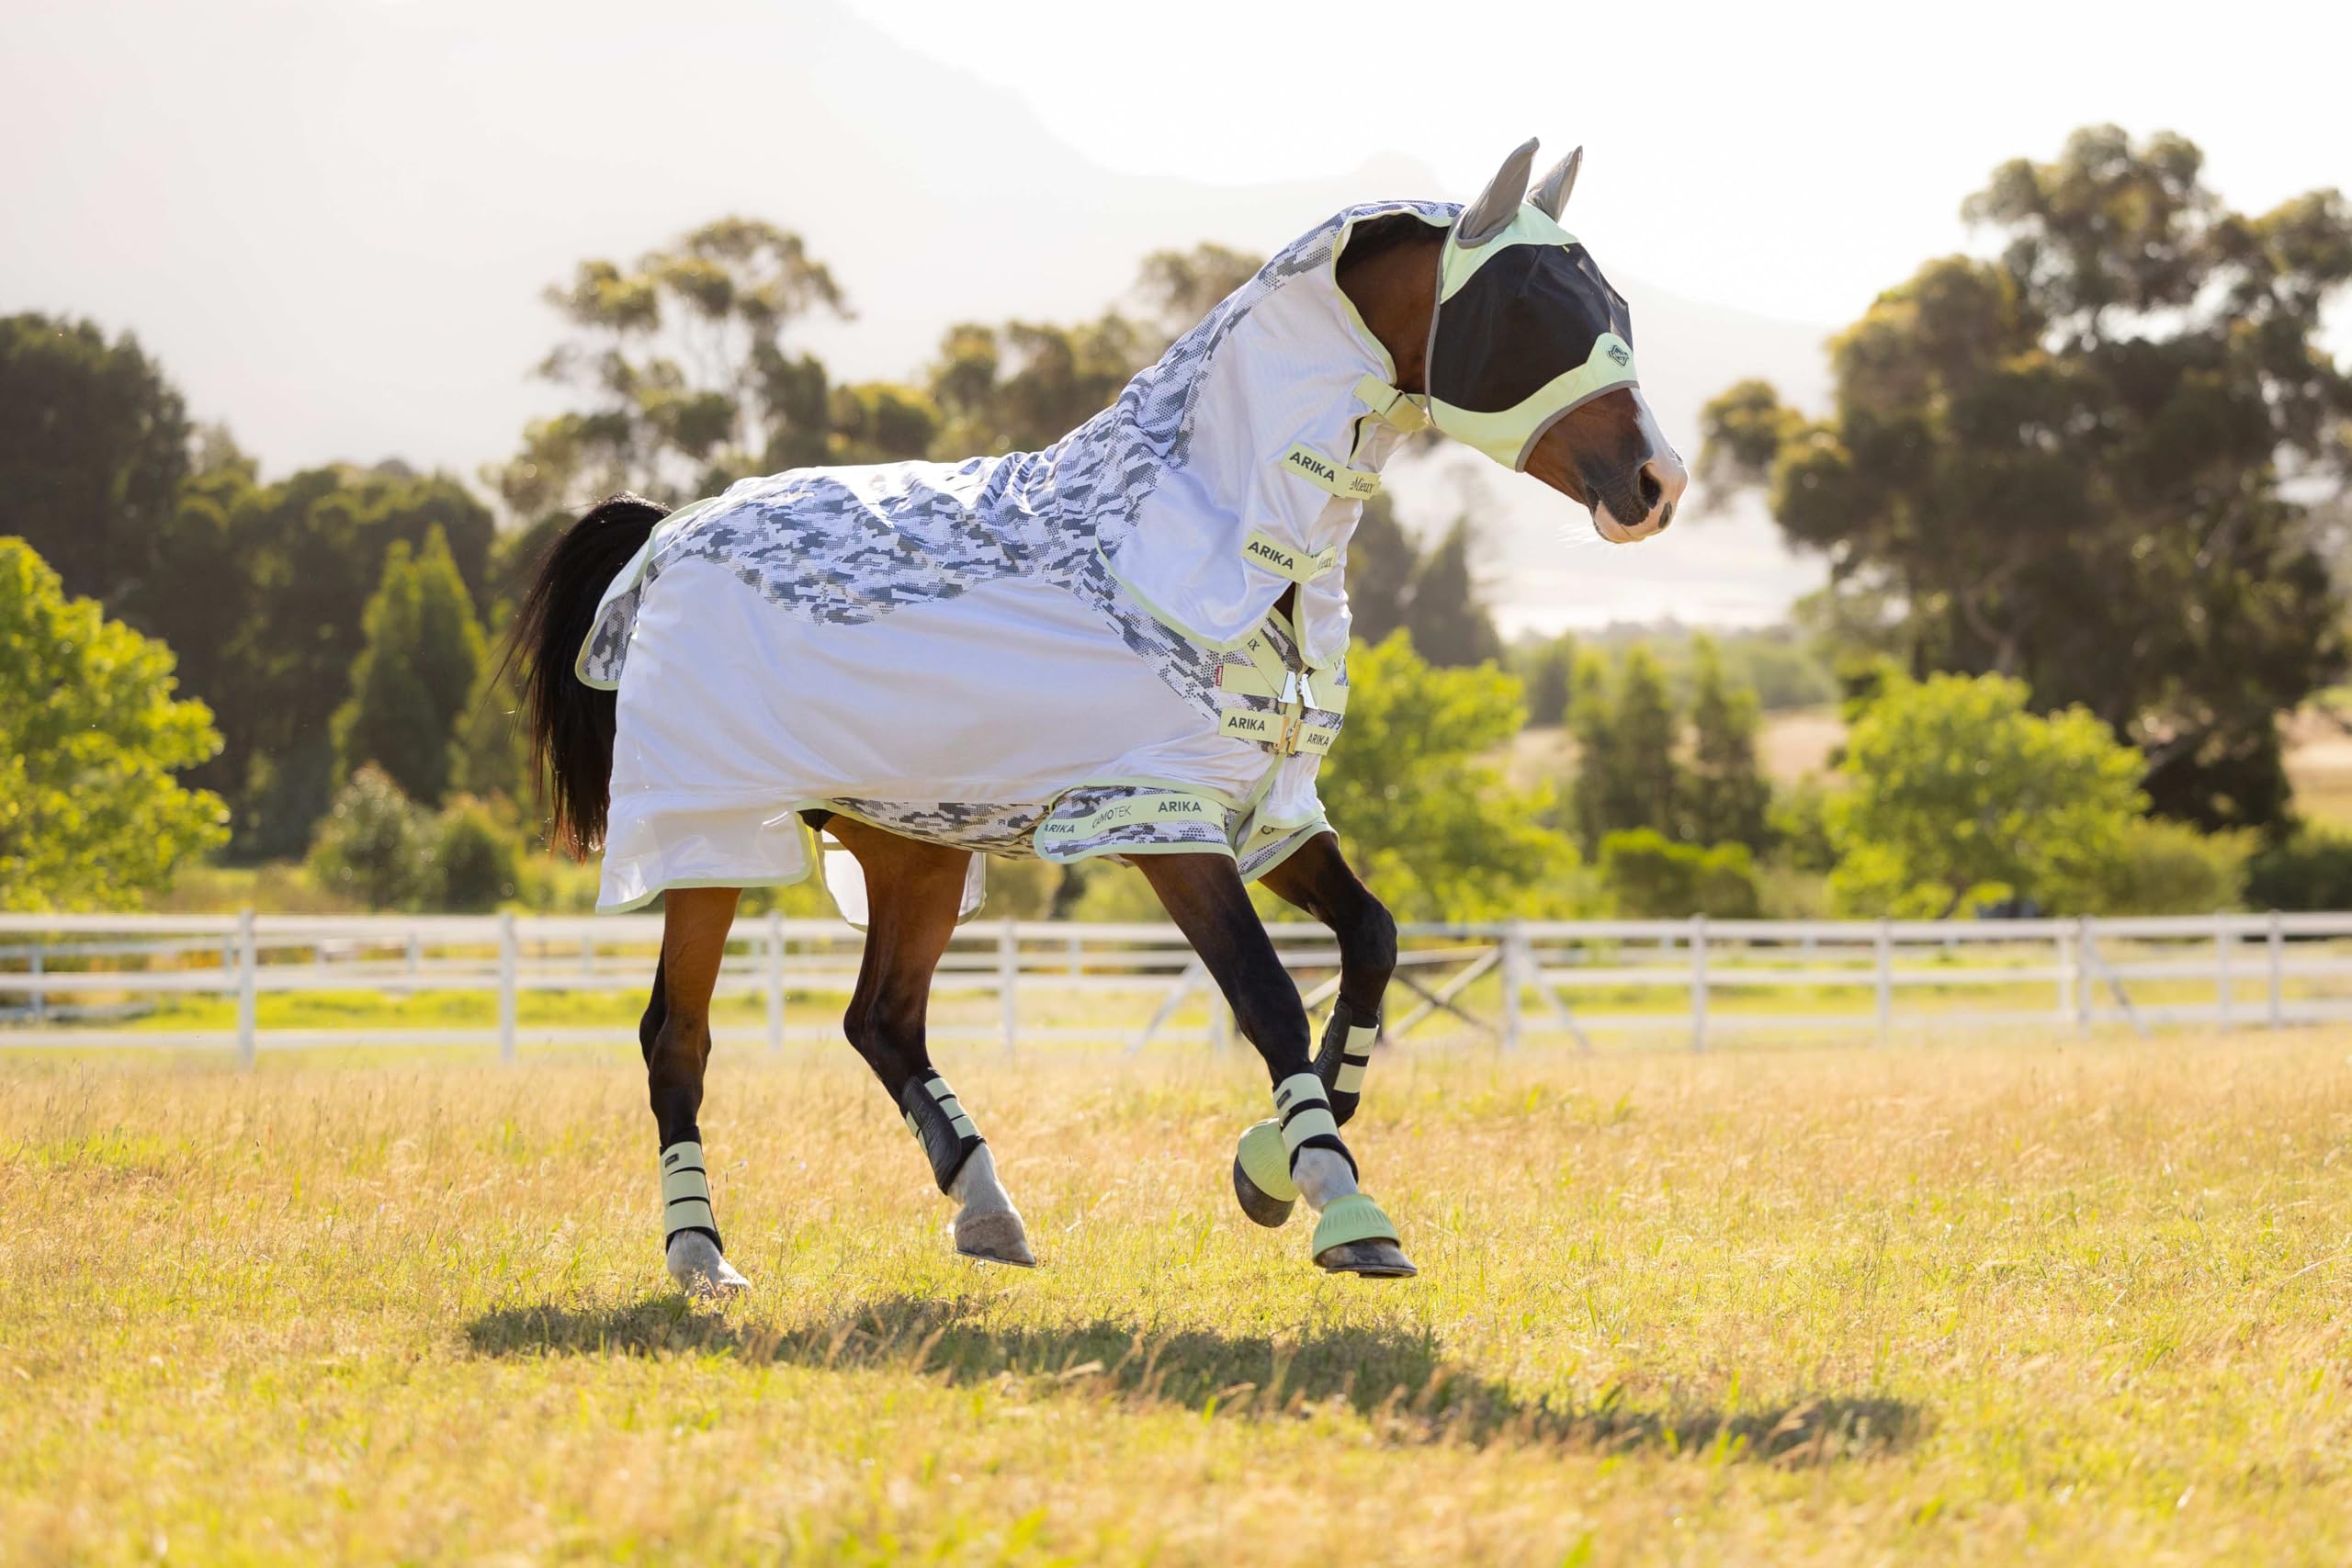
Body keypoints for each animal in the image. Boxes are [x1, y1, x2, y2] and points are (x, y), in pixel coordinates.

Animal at [508, 138, 1686, 1291]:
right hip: (708, 842)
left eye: (1613, 302)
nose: (1656, 483)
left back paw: (984, 1206)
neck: (1204, 542)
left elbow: (1372, 941)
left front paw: (1269, 1167)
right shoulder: (1159, 821)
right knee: (678, 1036)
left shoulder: (1263, 812)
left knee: (881, 1020)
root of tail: (668, 530)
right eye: (1528, 304)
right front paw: (1341, 1207)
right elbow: (1266, 995)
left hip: (914, 847)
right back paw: (701, 1257)